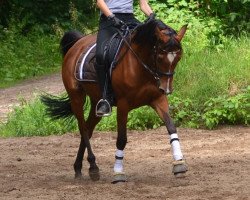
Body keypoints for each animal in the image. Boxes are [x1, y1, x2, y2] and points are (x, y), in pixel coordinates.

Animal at [41, 18, 188, 183]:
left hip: (97, 102)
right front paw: (118, 173)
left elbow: (171, 127)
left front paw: (179, 163)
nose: (166, 89)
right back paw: (93, 167)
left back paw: (78, 168)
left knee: (88, 129)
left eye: (178, 58)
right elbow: (121, 139)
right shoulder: (124, 104)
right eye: (160, 56)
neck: (140, 65)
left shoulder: (158, 99)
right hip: (76, 97)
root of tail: (77, 44)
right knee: (83, 129)